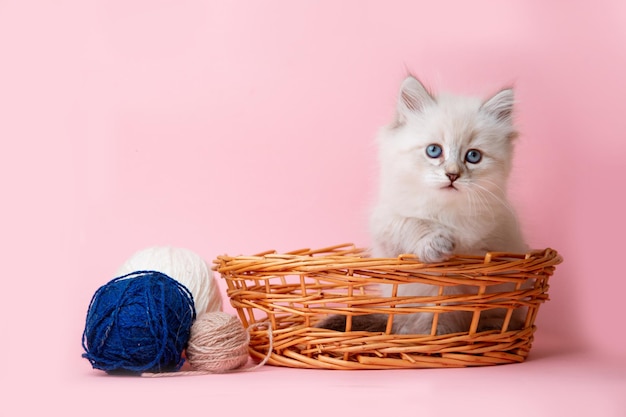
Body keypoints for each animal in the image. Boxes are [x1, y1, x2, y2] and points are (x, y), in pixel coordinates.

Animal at [316, 75, 528, 334]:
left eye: (473, 156)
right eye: (434, 150)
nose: (452, 175)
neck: (445, 211)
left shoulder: (497, 239)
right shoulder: (387, 225)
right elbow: (413, 223)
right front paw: (438, 244)